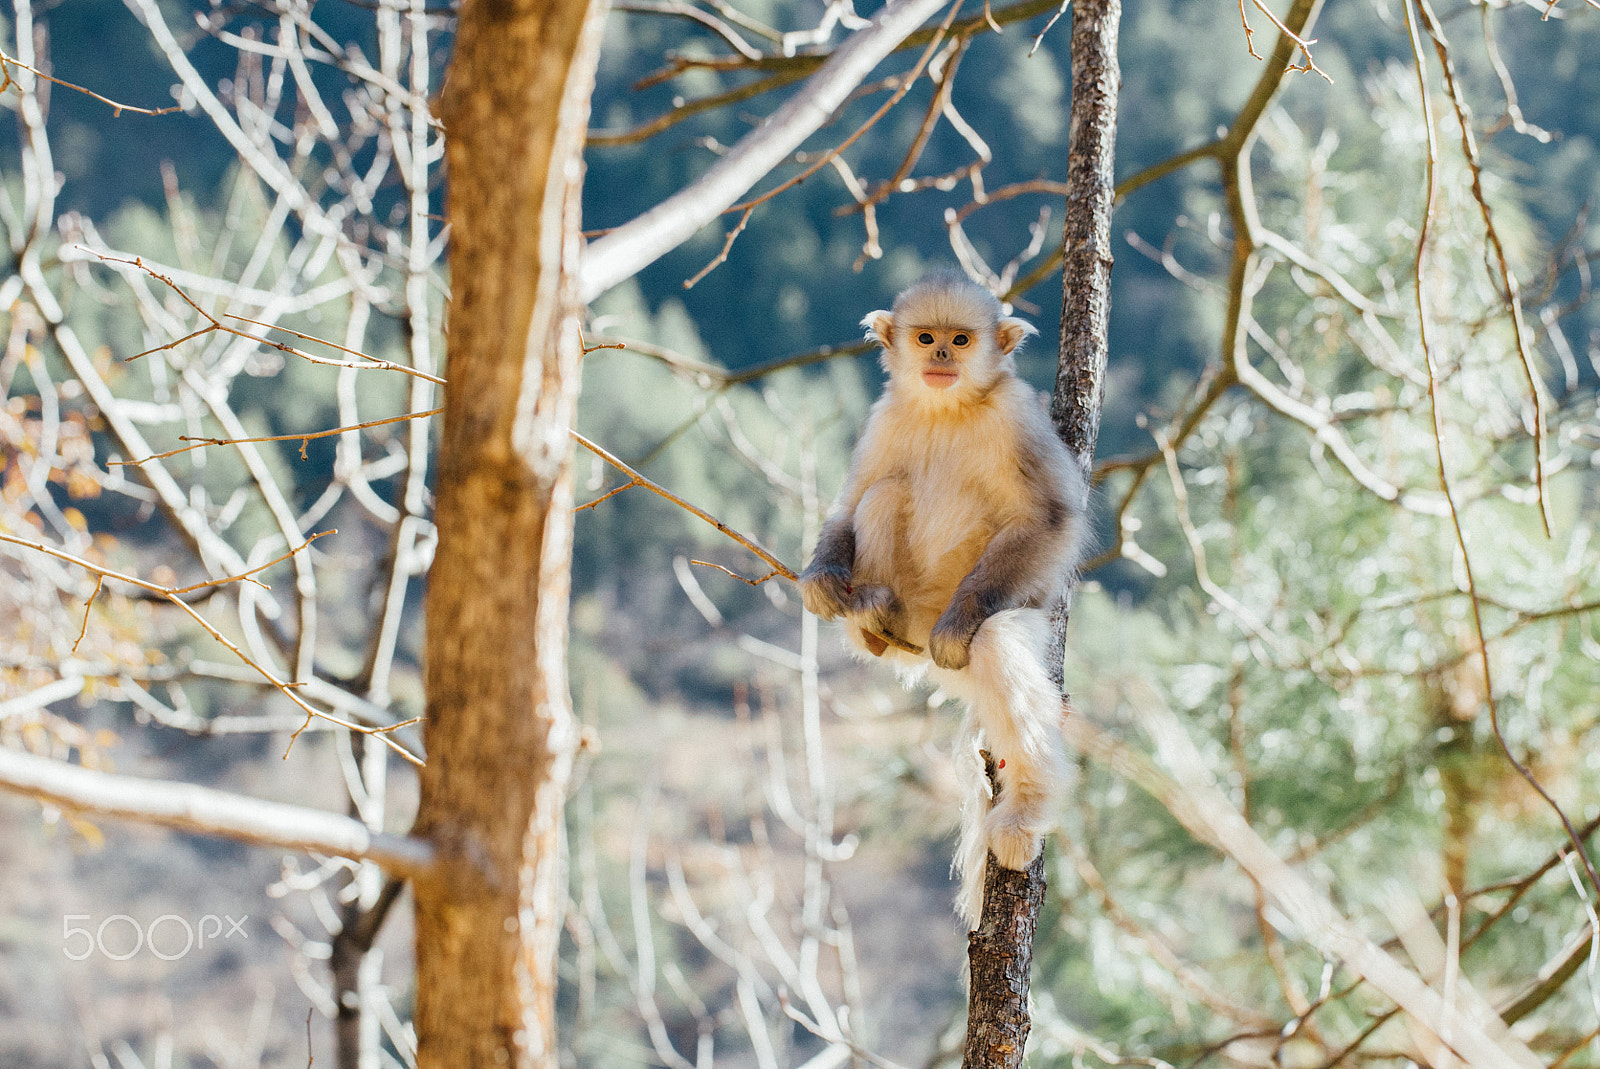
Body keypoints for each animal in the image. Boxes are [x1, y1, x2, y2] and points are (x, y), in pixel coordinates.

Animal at [796, 268, 1088, 928]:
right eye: (926, 337)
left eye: (960, 339)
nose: (940, 359)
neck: (948, 407)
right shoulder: (885, 416)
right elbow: (849, 503)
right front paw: (822, 578)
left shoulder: (1018, 415)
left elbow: (1052, 518)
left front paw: (961, 626)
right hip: (909, 618)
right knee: (883, 493)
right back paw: (871, 619)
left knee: (999, 646)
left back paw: (1025, 812)